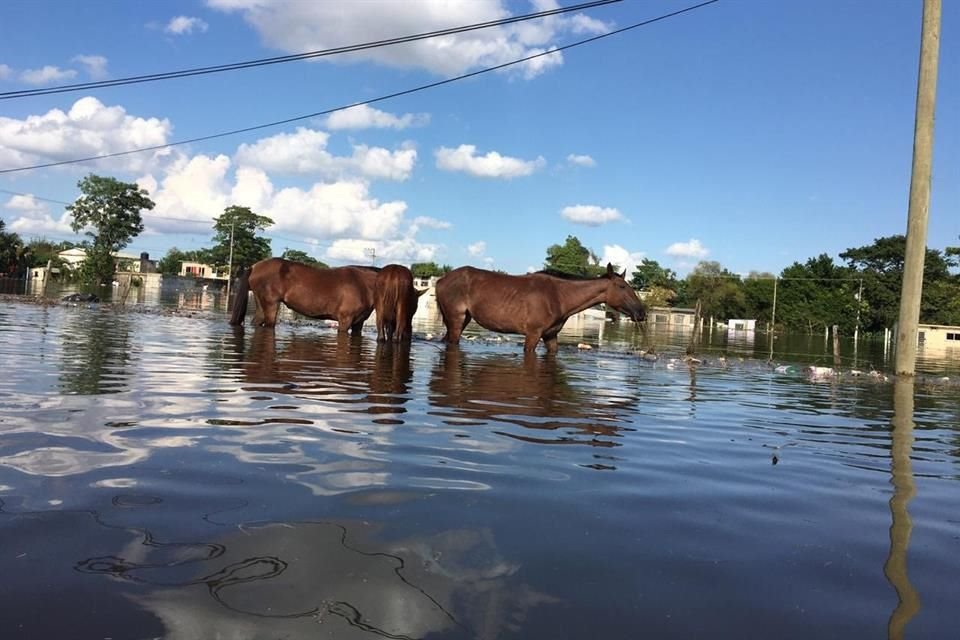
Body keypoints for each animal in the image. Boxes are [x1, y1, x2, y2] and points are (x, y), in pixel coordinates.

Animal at [438, 264, 648, 356]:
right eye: (622, 286)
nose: (642, 313)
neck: (558, 296)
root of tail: (441, 279)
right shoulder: (533, 334)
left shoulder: (550, 336)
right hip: (456, 320)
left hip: (461, 320)